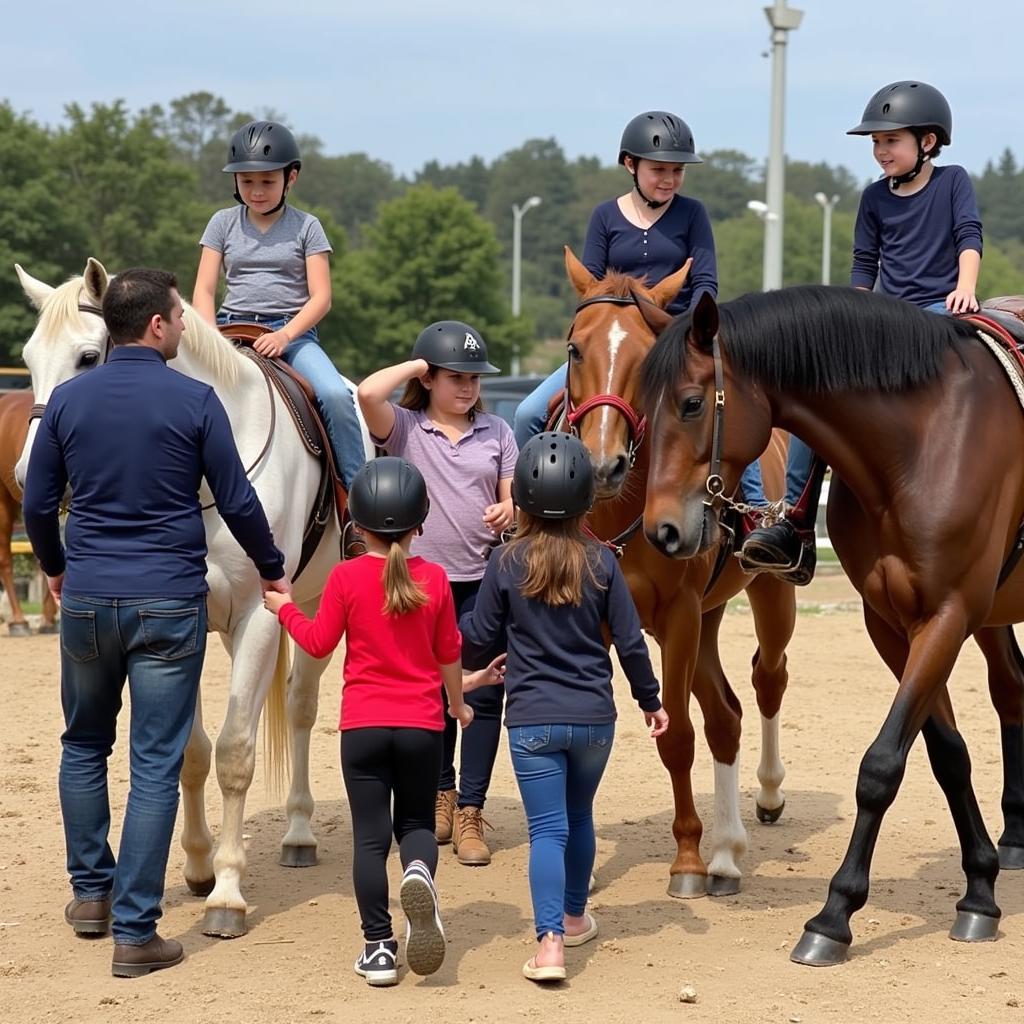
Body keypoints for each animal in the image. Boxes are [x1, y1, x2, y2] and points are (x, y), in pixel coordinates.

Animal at [12, 258, 372, 937]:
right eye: (27, 359)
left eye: (88, 358)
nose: (25, 477)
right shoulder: (184, 622)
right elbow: (192, 755)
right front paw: (201, 867)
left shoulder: (261, 615)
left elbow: (234, 752)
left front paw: (227, 894)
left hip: (312, 609)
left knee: (301, 707)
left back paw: (299, 833)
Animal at [557, 251, 794, 901]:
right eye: (574, 350)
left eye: (646, 361)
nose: (602, 464)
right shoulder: (612, 623)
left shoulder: (680, 617)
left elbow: (678, 736)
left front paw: (687, 859)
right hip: (706, 621)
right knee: (727, 716)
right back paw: (728, 852)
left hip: (766, 598)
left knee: (765, 681)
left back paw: (760, 803)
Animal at [638, 284, 1024, 962]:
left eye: (690, 404)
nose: (661, 531)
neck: (920, 447)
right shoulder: (893, 623)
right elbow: (946, 753)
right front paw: (979, 890)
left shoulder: (947, 616)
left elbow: (882, 766)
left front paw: (833, 916)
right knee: (1012, 694)